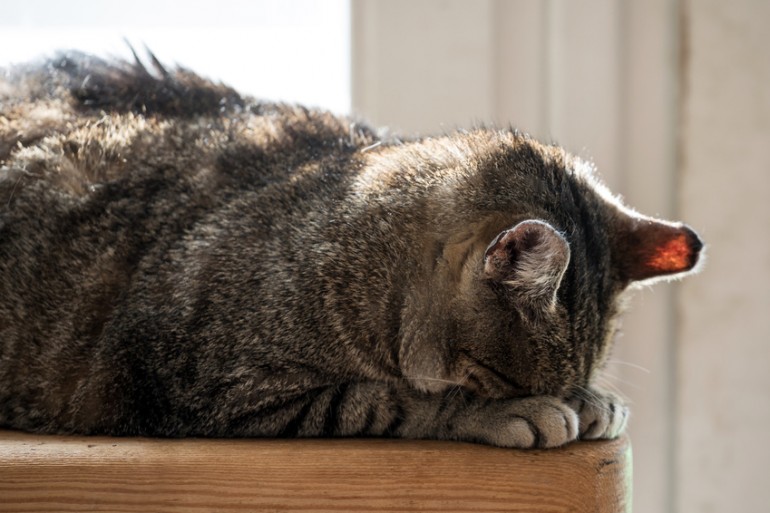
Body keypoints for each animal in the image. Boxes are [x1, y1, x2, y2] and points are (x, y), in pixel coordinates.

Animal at [0, 50, 704, 446]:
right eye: (505, 381)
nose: (563, 395)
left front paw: (589, 400)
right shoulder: (219, 391)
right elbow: (392, 400)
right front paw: (512, 411)